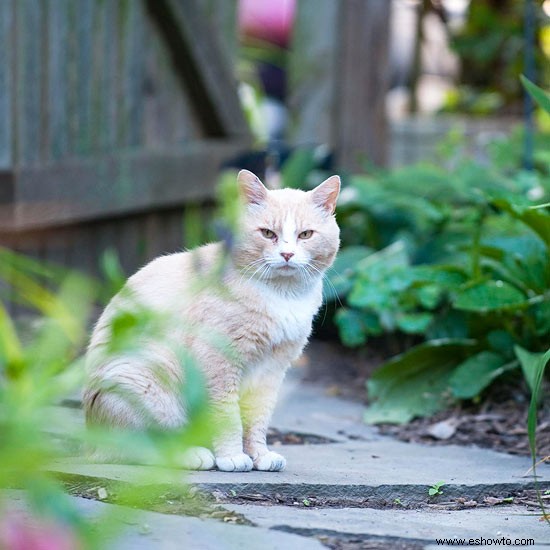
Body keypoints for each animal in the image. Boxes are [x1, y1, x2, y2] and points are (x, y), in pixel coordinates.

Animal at [83, 169, 340, 474]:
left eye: (305, 235)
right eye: (268, 234)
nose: (287, 255)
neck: (283, 295)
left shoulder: (272, 371)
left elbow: (257, 420)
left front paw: (260, 456)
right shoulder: (219, 362)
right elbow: (228, 417)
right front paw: (232, 457)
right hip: (145, 383)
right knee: (139, 449)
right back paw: (192, 455)